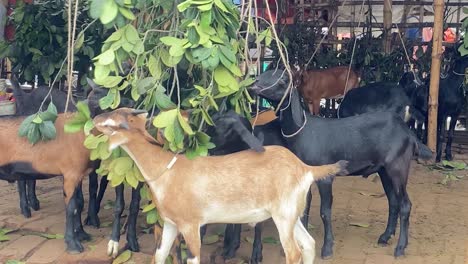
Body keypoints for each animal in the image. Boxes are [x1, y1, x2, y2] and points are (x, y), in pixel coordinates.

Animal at [92, 107, 348, 264]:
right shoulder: (171, 224)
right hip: (291, 214)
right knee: (309, 244)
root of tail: (305, 169)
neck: (169, 170)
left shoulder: (191, 225)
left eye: (112, 122)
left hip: (283, 216)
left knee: (293, 253)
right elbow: (160, 256)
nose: (93, 121)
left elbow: (192, 258)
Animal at [249, 69, 432, 258]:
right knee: (393, 201)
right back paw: (384, 237)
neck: (303, 132)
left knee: (405, 204)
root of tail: (408, 133)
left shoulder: (326, 177)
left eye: (283, 80)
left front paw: (327, 248)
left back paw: (400, 248)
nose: (253, 84)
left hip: (398, 167)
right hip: (384, 170)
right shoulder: (306, 175)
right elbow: (304, 209)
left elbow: (325, 211)